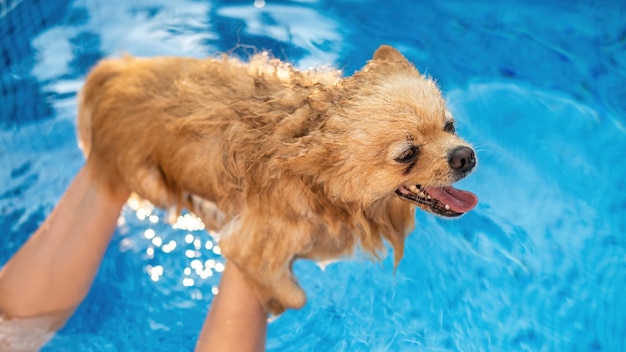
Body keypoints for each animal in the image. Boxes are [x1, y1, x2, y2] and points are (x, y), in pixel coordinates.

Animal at [78, 44, 478, 314]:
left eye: (450, 125)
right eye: (407, 154)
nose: (465, 155)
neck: (320, 185)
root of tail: (113, 74)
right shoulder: (251, 244)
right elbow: (296, 296)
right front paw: (275, 303)